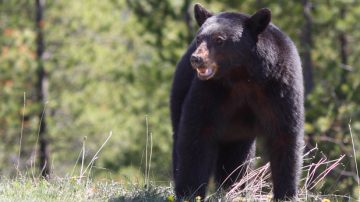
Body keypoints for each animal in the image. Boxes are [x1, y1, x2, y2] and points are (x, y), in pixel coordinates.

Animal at [171, 3, 304, 202]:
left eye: (219, 40)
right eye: (199, 38)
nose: (196, 59)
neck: (242, 75)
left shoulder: (279, 87)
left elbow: (285, 135)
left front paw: (286, 194)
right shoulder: (210, 90)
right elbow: (196, 132)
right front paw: (189, 192)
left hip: (240, 135)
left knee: (238, 158)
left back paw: (235, 189)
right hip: (180, 91)